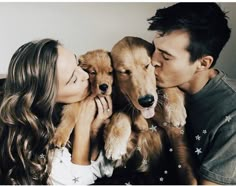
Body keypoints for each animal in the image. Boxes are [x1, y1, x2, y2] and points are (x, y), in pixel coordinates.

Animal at [104, 36, 196, 185]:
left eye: (147, 65)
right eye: (124, 72)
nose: (147, 101)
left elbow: (171, 87)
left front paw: (175, 111)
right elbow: (120, 114)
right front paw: (114, 143)